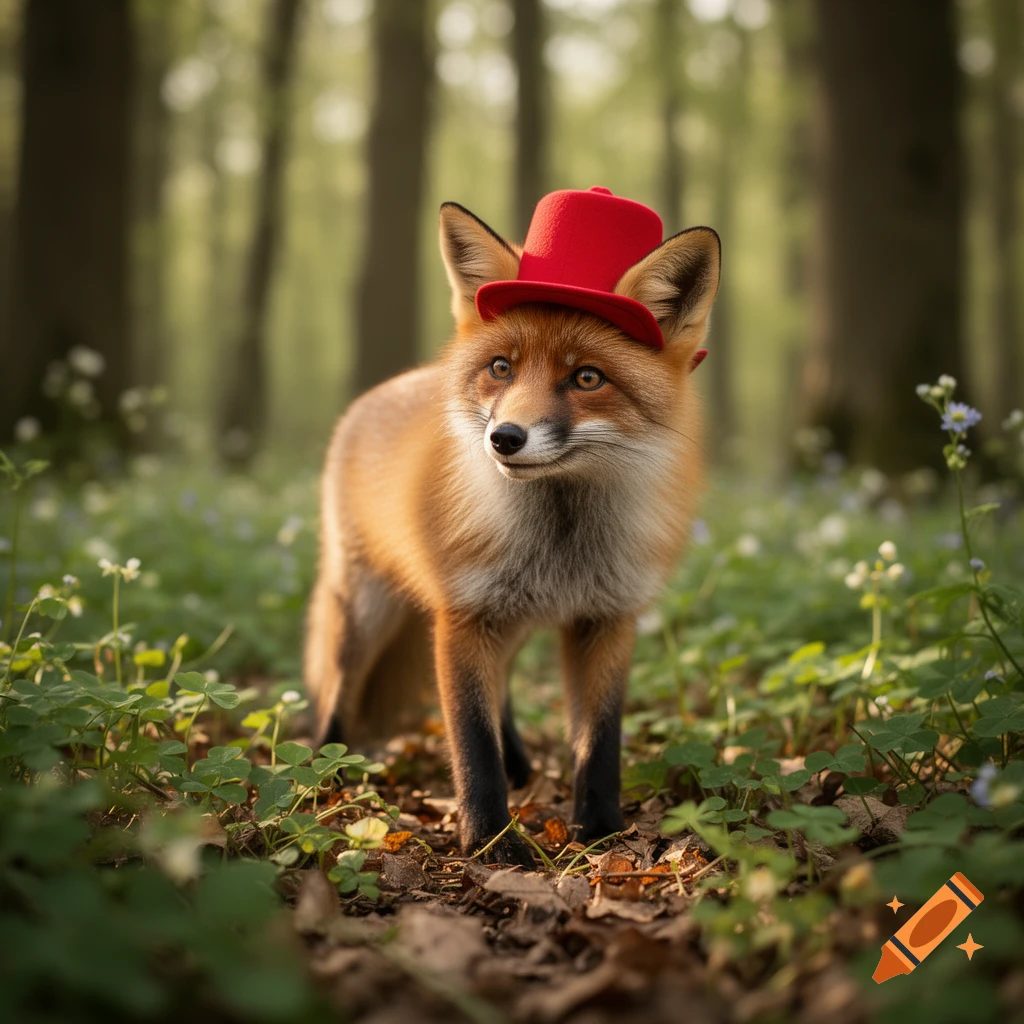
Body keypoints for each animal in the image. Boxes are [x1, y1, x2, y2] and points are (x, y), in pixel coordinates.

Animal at [305, 188, 720, 864]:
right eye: (501, 368)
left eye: (586, 377)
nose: (504, 437)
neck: (561, 544)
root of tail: (382, 391)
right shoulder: (461, 617)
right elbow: (472, 743)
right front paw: (490, 842)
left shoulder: (607, 618)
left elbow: (599, 741)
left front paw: (601, 831)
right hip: (365, 613)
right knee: (338, 696)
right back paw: (325, 774)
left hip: (513, 622)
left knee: (499, 687)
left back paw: (522, 765)